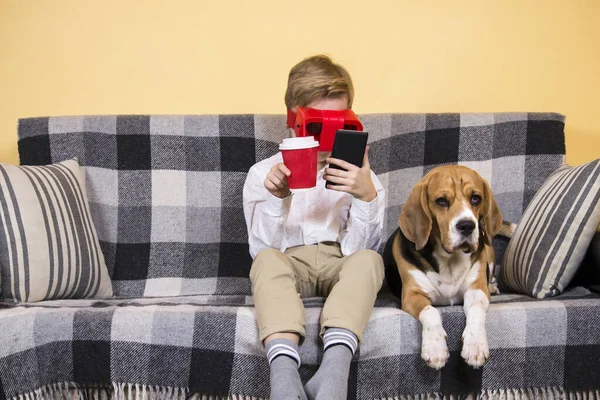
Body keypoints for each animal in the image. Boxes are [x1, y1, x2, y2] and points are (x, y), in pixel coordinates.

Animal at [382, 165, 512, 368]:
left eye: (476, 198)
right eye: (441, 201)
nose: (467, 226)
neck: (449, 259)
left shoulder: (476, 289)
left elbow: (476, 308)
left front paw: (475, 345)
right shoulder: (411, 296)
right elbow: (431, 311)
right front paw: (435, 348)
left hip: (488, 250)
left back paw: (492, 285)